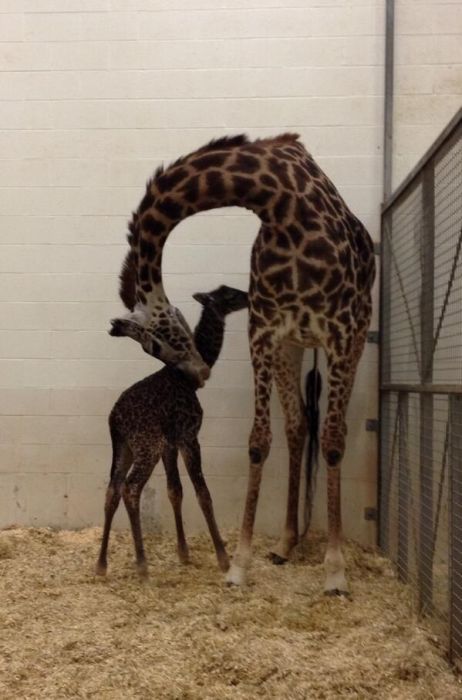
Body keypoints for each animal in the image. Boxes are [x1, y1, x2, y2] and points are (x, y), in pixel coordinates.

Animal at [94, 286, 249, 580]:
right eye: (230, 295)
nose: (249, 296)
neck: (189, 380)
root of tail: (114, 418)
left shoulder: (170, 443)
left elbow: (175, 490)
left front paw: (184, 554)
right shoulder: (189, 436)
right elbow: (203, 493)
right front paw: (223, 559)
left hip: (123, 447)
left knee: (112, 490)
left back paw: (101, 565)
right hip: (146, 446)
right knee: (131, 488)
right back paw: (142, 566)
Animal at [111, 134, 376, 592]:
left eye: (153, 346)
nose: (199, 373)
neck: (280, 202)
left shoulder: (341, 333)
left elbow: (333, 441)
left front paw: (336, 571)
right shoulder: (265, 333)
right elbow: (258, 441)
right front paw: (238, 565)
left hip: (353, 338)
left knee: (329, 432)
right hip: (293, 346)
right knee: (297, 425)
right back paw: (286, 544)